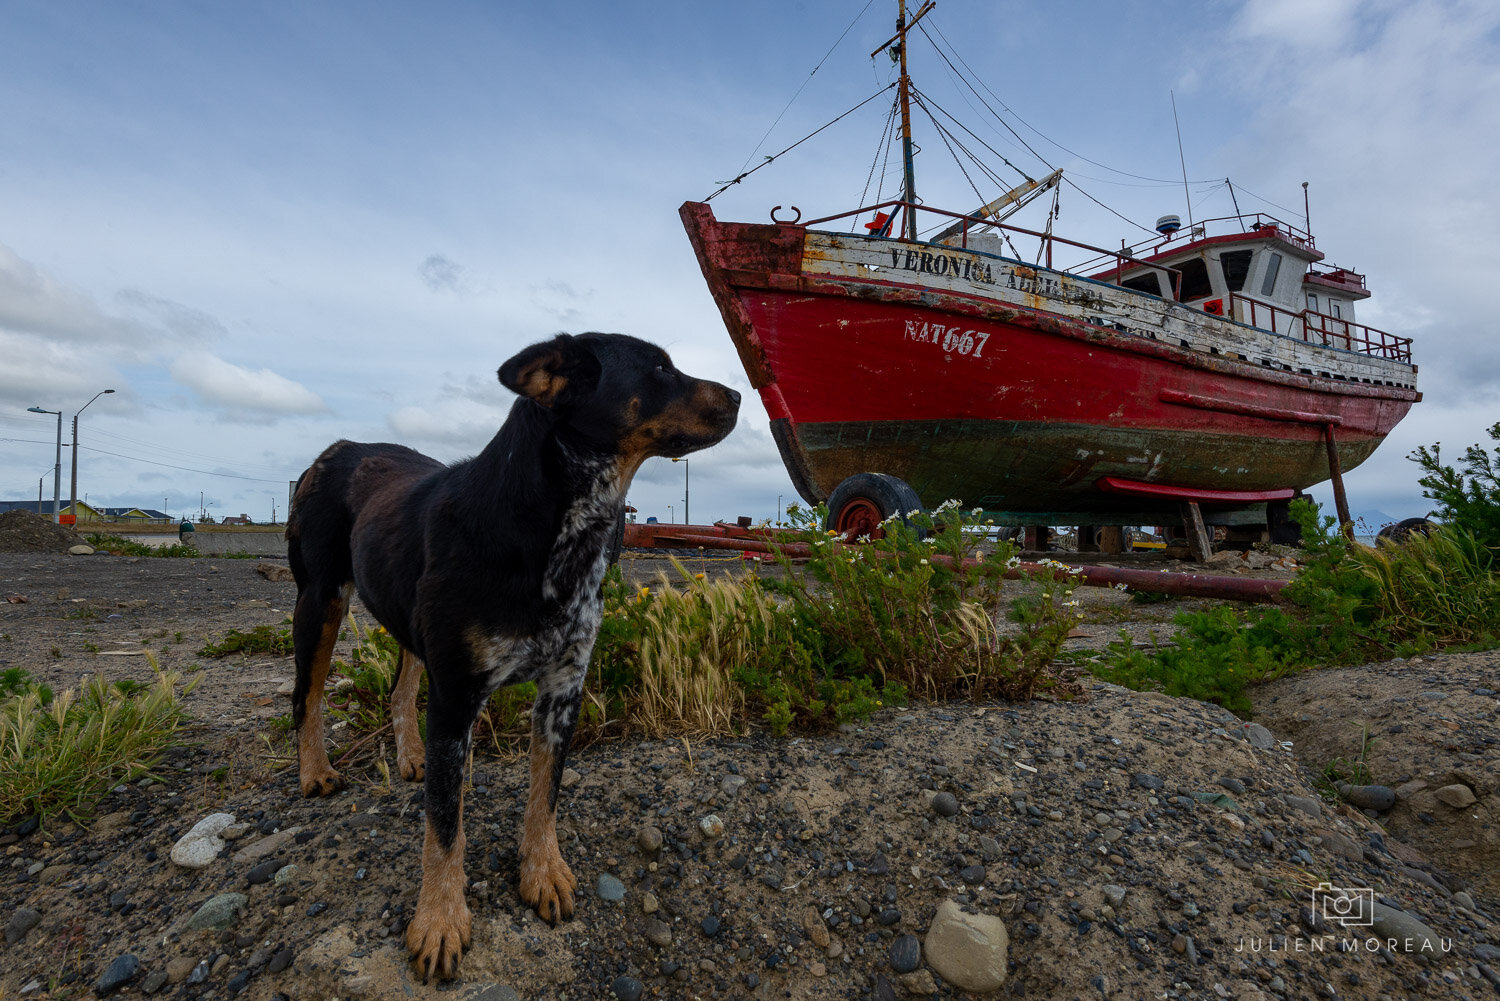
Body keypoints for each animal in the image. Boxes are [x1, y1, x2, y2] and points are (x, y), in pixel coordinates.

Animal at [285, 336, 738, 978]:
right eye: (659, 367)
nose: (740, 396)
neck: (558, 532)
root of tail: (337, 448)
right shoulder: (455, 697)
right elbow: (443, 826)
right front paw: (439, 919)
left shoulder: (564, 688)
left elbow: (544, 797)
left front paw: (542, 872)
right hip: (320, 600)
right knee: (307, 695)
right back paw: (315, 771)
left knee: (399, 690)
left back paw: (412, 757)